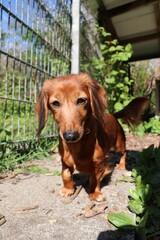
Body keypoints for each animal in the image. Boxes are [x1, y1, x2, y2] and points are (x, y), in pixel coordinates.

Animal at [36, 74, 149, 202]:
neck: (77, 146)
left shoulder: (99, 164)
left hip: (118, 144)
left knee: (124, 152)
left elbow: (94, 179)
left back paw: (121, 165)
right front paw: (67, 190)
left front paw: (94, 193)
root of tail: (113, 115)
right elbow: (66, 175)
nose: (70, 136)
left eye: (81, 100)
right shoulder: (65, 161)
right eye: (55, 103)